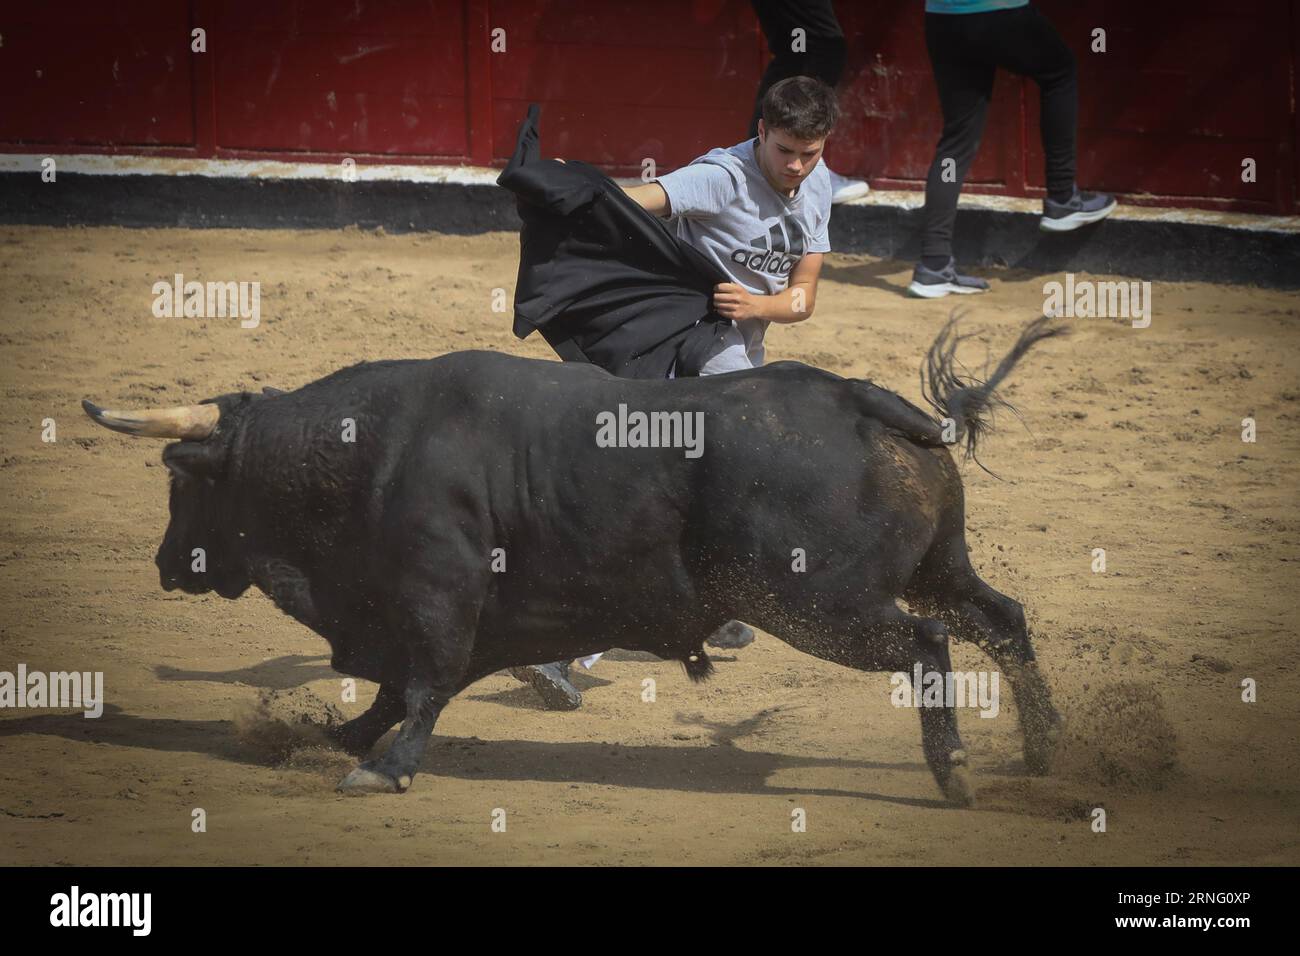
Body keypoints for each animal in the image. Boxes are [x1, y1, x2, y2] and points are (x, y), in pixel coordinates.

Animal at [81, 317, 1060, 806]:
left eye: (180, 481)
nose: (165, 563)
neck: (371, 453)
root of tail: (860, 397)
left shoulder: (435, 596)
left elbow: (423, 682)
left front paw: (384, 768)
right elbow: (398, 688)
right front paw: (342, 738)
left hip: (817, 604)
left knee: (928, 642)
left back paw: (955, 772)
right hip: (934, 568)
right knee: (1000, 618)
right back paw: (1043, 751)